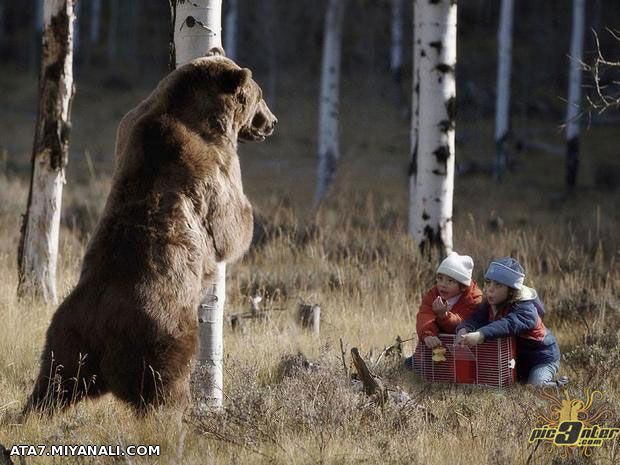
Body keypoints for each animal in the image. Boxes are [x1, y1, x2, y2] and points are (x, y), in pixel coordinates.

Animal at [24, 49, 276, 414]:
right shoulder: (212, 164)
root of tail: (102, 328)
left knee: (51, 386)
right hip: (161, 339)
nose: (272, 122)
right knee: (164, 391)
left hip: (65, 341)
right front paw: (247, 221)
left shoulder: (130, 125)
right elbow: (228, 224)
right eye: (260, 96)